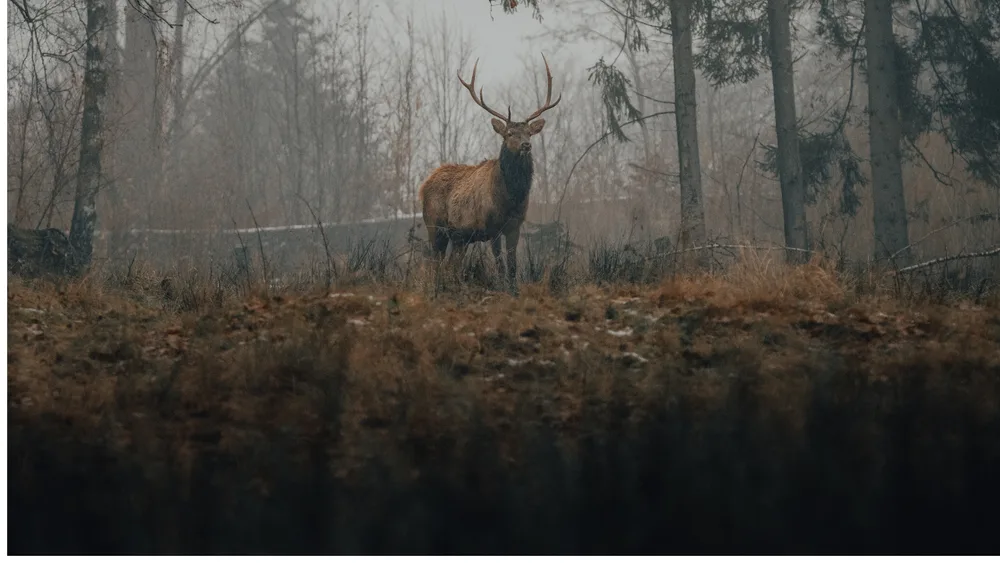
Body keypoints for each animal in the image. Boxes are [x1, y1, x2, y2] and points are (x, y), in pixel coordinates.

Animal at [418, 54, 561, 295]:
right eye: (509, 133)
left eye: (529, 133)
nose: (526, 145)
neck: (510, 198)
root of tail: (423, 185)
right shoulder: (492, 226)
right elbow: (500, 263)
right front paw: (503, 289)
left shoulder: (515, 225)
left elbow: (512, 264)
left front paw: (514, 291)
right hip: (434, 225)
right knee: (434, 262)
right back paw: (436, 290)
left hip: (460, 237)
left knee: (451, 264)